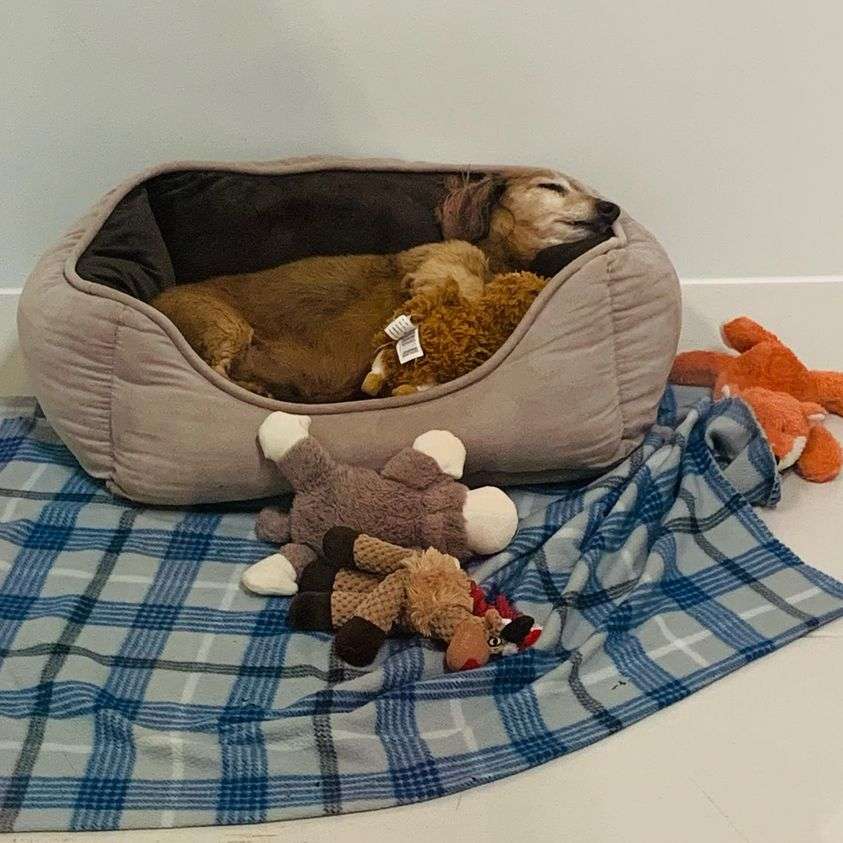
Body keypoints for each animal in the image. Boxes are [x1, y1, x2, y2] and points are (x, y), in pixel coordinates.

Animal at [152, 170, 620, 404]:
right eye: (551, 186)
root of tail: (154, 299)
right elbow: (467, 287)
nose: (611, 208)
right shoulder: (441, 268)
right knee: (216, 374)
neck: (496, 254)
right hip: (226, 325)